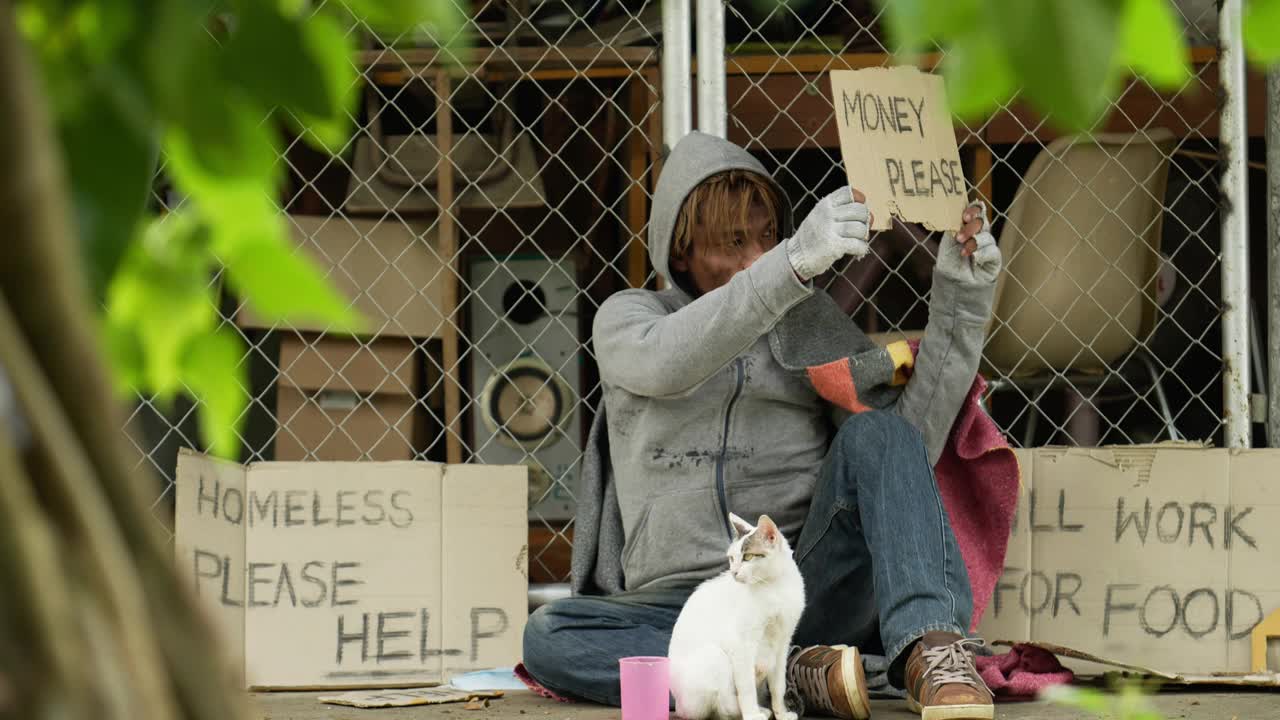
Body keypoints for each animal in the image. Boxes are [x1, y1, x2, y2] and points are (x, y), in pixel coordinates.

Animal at [665, 509, 803, 717]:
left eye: (748, 557)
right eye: (731, 558)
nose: (734, 572)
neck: (774, 587)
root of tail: (679, 705)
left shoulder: (782, 644)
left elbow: (778, 686)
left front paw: (782, 714)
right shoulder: (743, 646)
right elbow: (746, 688)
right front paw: (752, 715)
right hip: (715, 657)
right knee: (723, 706)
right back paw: (756, 711)